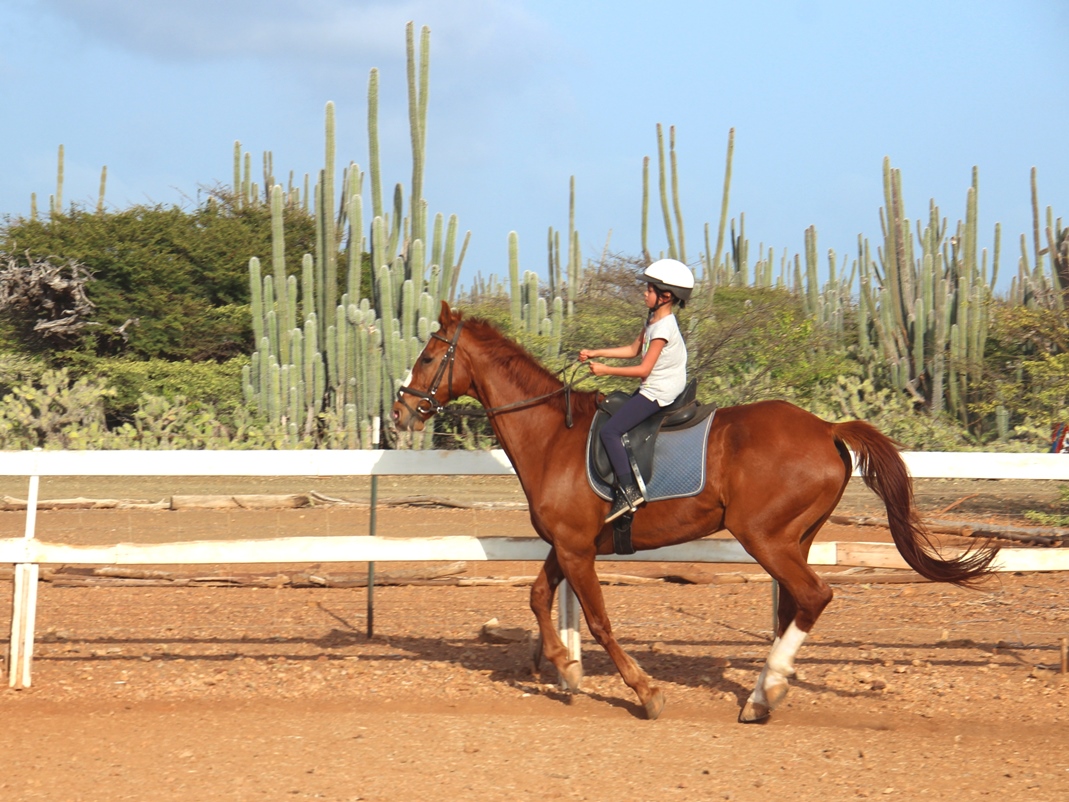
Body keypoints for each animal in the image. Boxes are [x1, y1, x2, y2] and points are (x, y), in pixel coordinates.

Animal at [391, 302, 998, 722]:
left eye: (428, 357)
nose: (400, 412)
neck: (551, 437)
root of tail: (827, 426)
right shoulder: (568, 544)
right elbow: (540, 597)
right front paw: (566, 669)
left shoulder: (577, 548)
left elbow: (599, 621)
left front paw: (644, 691)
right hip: (794, 539)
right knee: (795, 606)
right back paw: (764, 692)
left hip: (765, 538)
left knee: (814, 597)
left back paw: (765, 693)